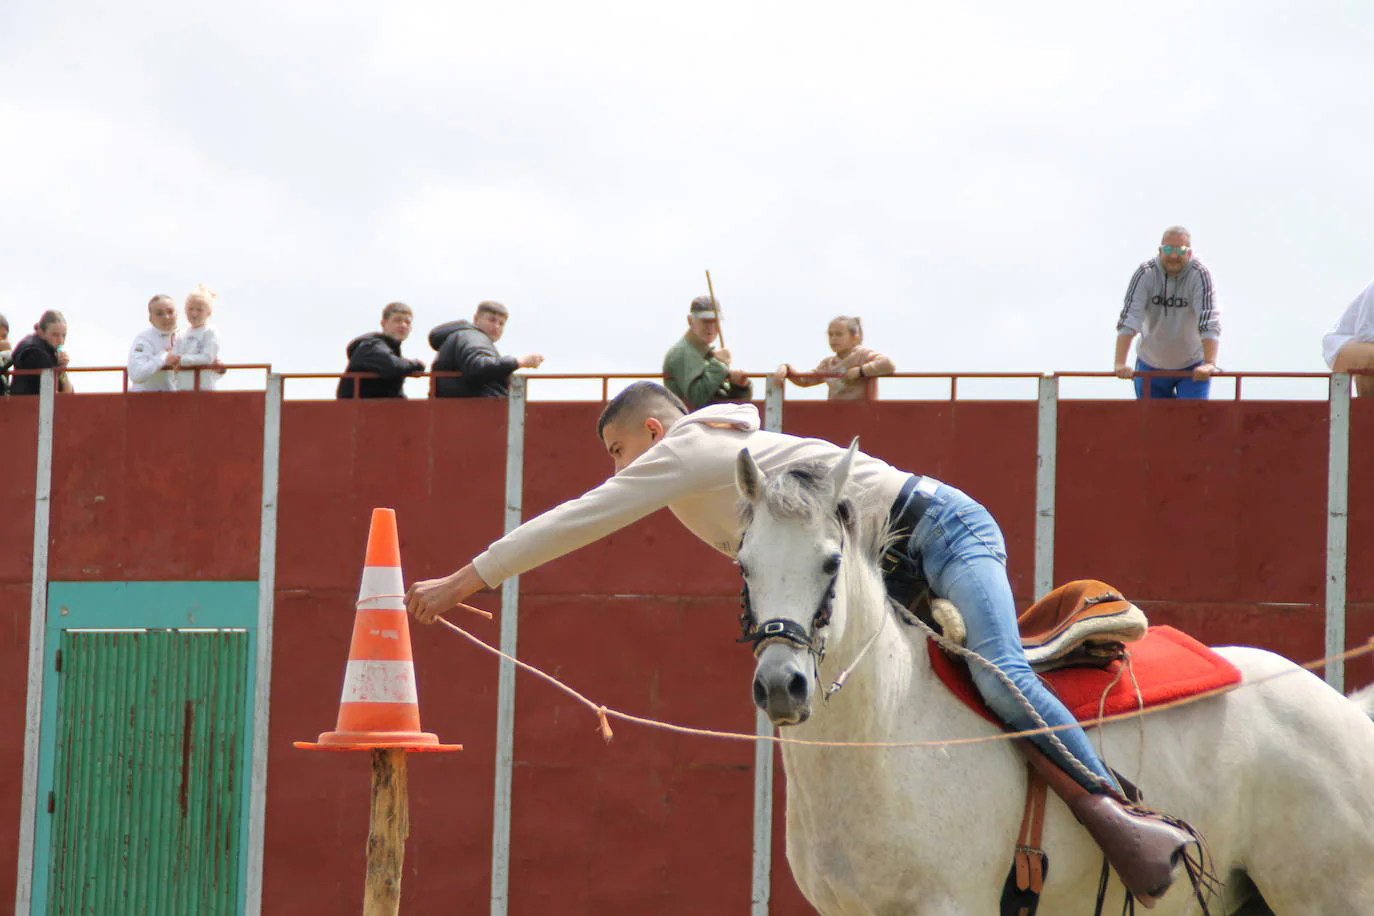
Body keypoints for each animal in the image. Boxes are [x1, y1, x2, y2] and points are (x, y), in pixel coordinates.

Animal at [736, 450, 1374, 916]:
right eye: (744, 565)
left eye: (830, 563)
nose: (782, 684)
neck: (883, 734)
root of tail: (1345, 713)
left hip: (1332, 897)